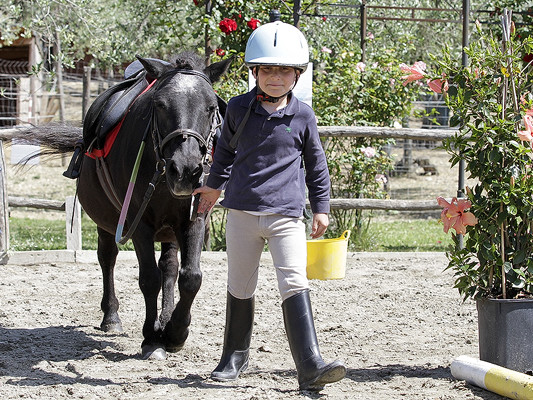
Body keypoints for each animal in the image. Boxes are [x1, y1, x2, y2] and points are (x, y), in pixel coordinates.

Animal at [9, 52, 231, 360]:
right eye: (159, 105)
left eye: (211, 107)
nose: (185, 170)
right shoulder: (138, 224)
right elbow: (148, 278)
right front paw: (152, 338)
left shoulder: (193, 219)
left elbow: (190, 277)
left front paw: (175, 333)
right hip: (106, 223)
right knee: (108, 258)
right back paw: (111, 317)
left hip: (169, 229)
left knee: (170, 267)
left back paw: (165, 319)